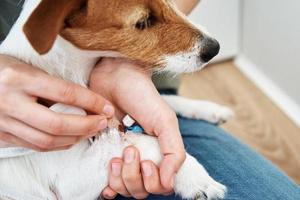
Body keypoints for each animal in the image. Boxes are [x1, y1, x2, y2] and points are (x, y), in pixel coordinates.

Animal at [0, 0, 233, 200]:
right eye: (143, 22)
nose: (215, 48)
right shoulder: (69, 180)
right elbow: (141, 142)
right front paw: (195, 176)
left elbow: (166, 101)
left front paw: (209, 109)